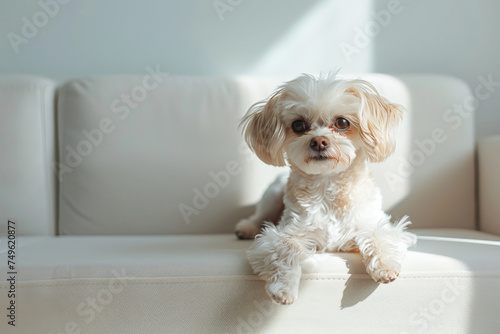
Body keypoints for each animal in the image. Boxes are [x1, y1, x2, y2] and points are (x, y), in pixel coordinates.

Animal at [236, 73, 416, 306]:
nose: (319, 141)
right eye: (298, 125)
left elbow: (378, 235)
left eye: (342, 122)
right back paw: (246, 228)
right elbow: (285, 249)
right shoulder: (286, 232)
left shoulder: (373, 221)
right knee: (259, 216)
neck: (329, 185)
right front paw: (283, 289)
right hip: (272, 195)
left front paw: (385, 266)